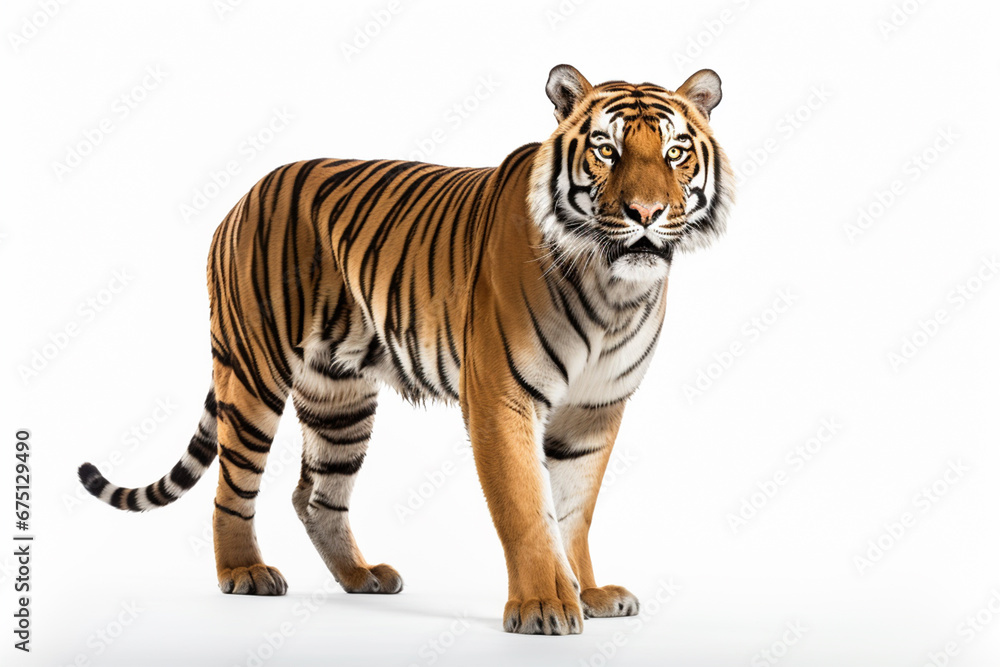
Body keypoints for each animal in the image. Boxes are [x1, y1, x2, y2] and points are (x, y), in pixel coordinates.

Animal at [78, 64, 734, 635]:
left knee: (316, 496)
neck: (613, 288)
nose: (645, 213)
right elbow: (526, 507)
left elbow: (573, 509)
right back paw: (245, 571)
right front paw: (543, 606)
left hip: (339, 398)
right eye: (606, 149)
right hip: (254, 371)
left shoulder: (596, 409)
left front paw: (588, 592)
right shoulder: (500, 397)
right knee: (232, 488)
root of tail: (245, 196)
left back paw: (362, 576)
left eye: (675, 153)